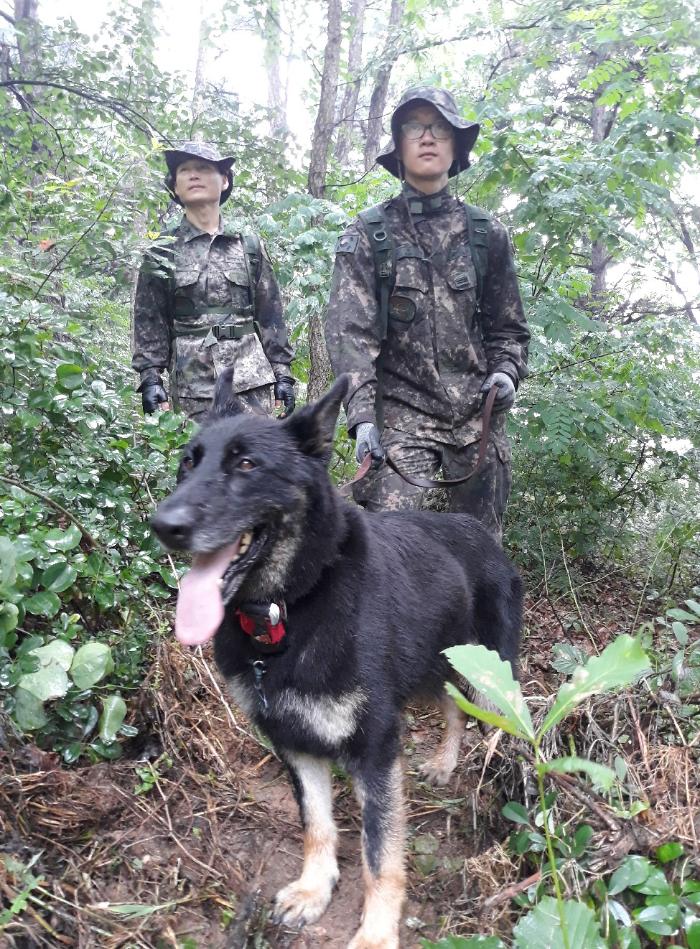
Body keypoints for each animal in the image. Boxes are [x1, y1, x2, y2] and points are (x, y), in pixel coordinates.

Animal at [154, 372, 524, 948]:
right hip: (432, 668)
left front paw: (376, 934)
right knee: (452, 707)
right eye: (188, 463)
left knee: (506, 720)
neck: (285, 611)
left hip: (492, 676)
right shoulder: (294, 743)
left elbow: (380, 855)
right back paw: (445, 763)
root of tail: (477, 529)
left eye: (246, 464)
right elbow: (317, 824)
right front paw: (314, 888)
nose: (163, 524)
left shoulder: (377, 750)